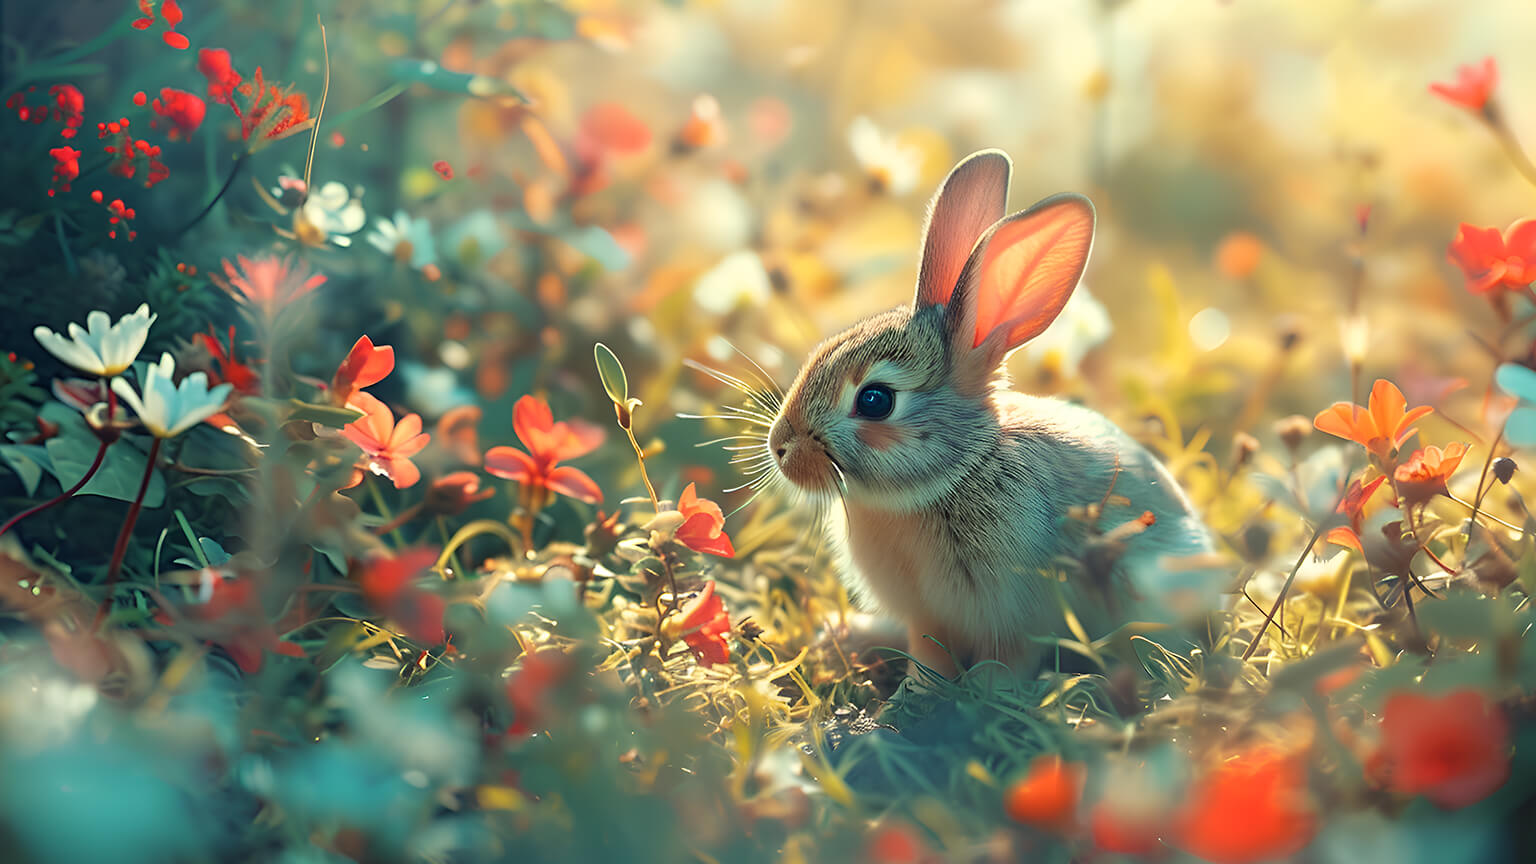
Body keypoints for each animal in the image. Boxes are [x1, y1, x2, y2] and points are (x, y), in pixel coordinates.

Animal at [766, 150, 1217, 677]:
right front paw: (914, 691)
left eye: (875, 400)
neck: (956, 473)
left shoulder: (1012, 616)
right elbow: (927, 654)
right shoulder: (929, 617)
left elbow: (1004, 665)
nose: (780, 446)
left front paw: (973, 692)